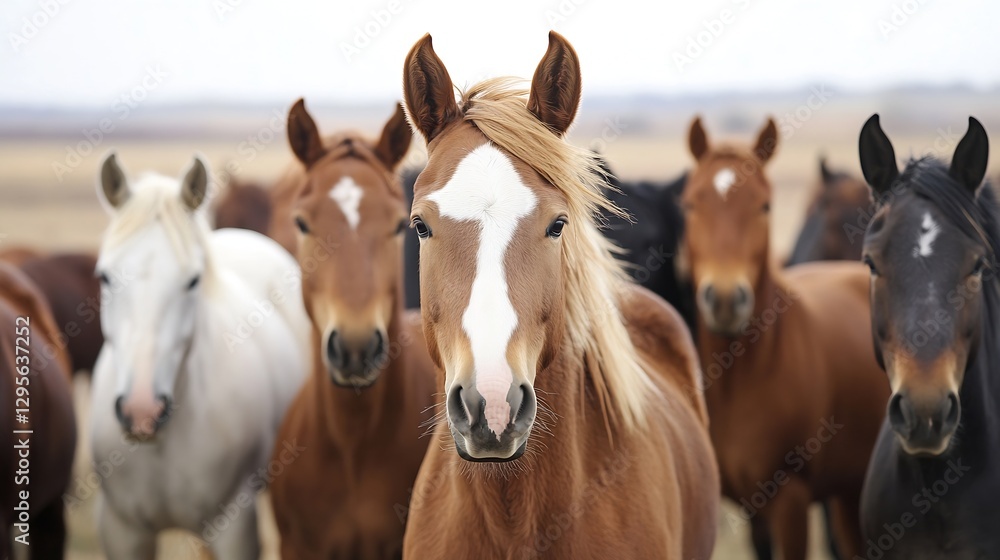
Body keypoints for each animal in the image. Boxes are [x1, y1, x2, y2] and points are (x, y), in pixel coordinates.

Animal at [681, 116, 889, 559]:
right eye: (690, 205)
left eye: (765, 206)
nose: (725, 299)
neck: (742, 376)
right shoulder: (753, 510)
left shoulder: (790, 501)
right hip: (848, 489)